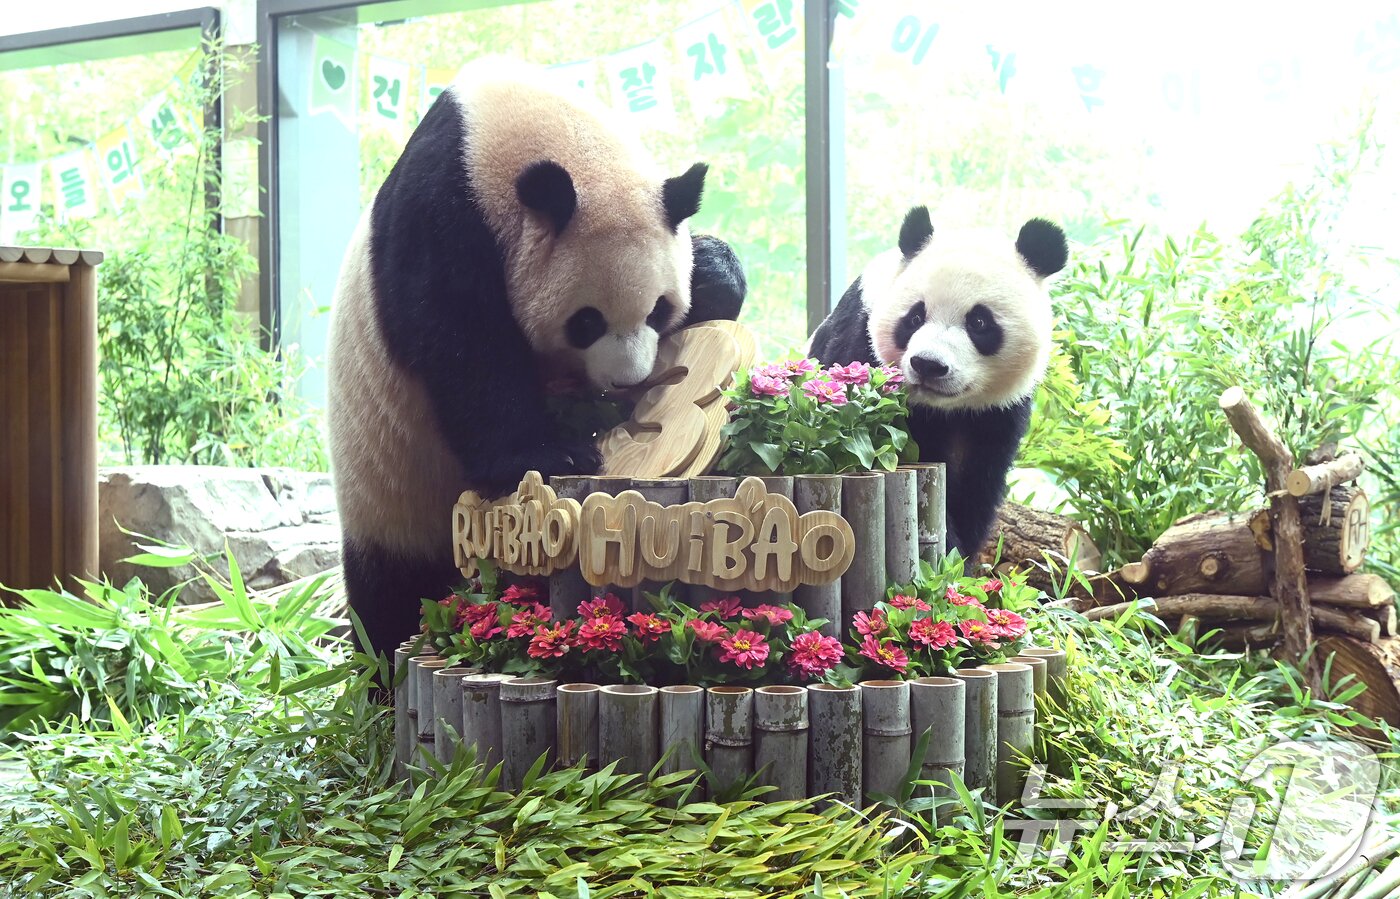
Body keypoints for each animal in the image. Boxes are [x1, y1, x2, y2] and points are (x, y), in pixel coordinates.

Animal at [327, 61, 746, 661]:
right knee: (393, 589)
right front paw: (552, 455)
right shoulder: (440, 213)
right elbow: (461, 341)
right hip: (388, 484)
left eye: (659, 308)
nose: (629, 379)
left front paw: (713, 274)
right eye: (586, 322)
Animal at [808, 206, 1067, 564]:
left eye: (979, 322)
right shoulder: (858, 349)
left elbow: (977, 487)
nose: (928, 364)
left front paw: (962, 560)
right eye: (915, 317)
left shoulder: (997, 413)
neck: (944, 408)